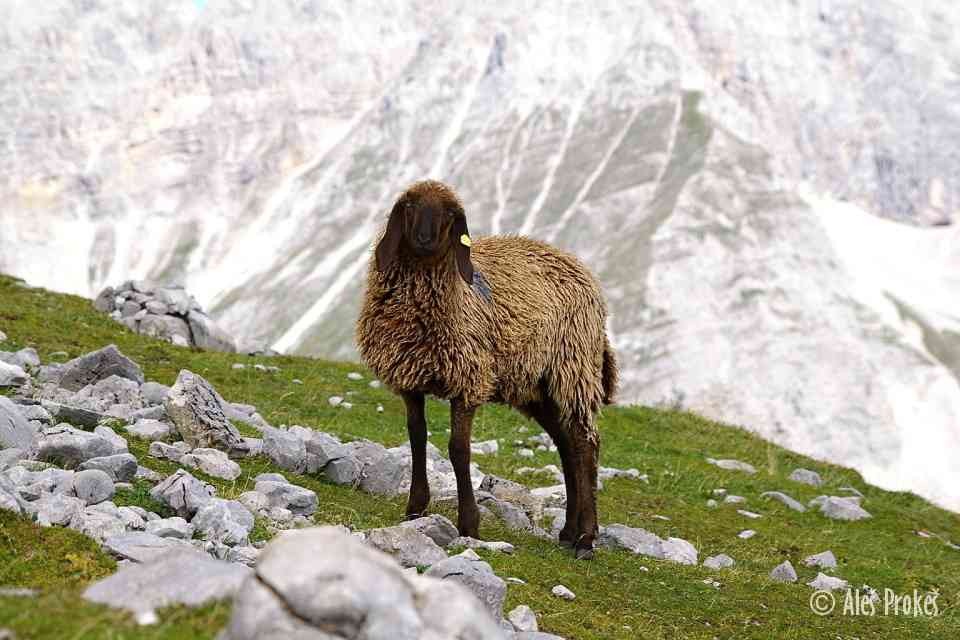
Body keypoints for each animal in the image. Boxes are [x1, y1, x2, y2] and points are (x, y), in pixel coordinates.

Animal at [356, 180, 620, 560]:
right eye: (409, 206)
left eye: (452, 214)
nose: (424, 238)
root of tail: (579, 266)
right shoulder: (410, 378)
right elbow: (417, 437)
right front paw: (415, 508)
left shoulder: (468, 380)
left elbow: (458, 449)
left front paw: (470, 524)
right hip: (536, 386)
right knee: (566, 444)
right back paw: (569, 533)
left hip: (573, 368)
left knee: (586, 444)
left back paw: (586, 539)